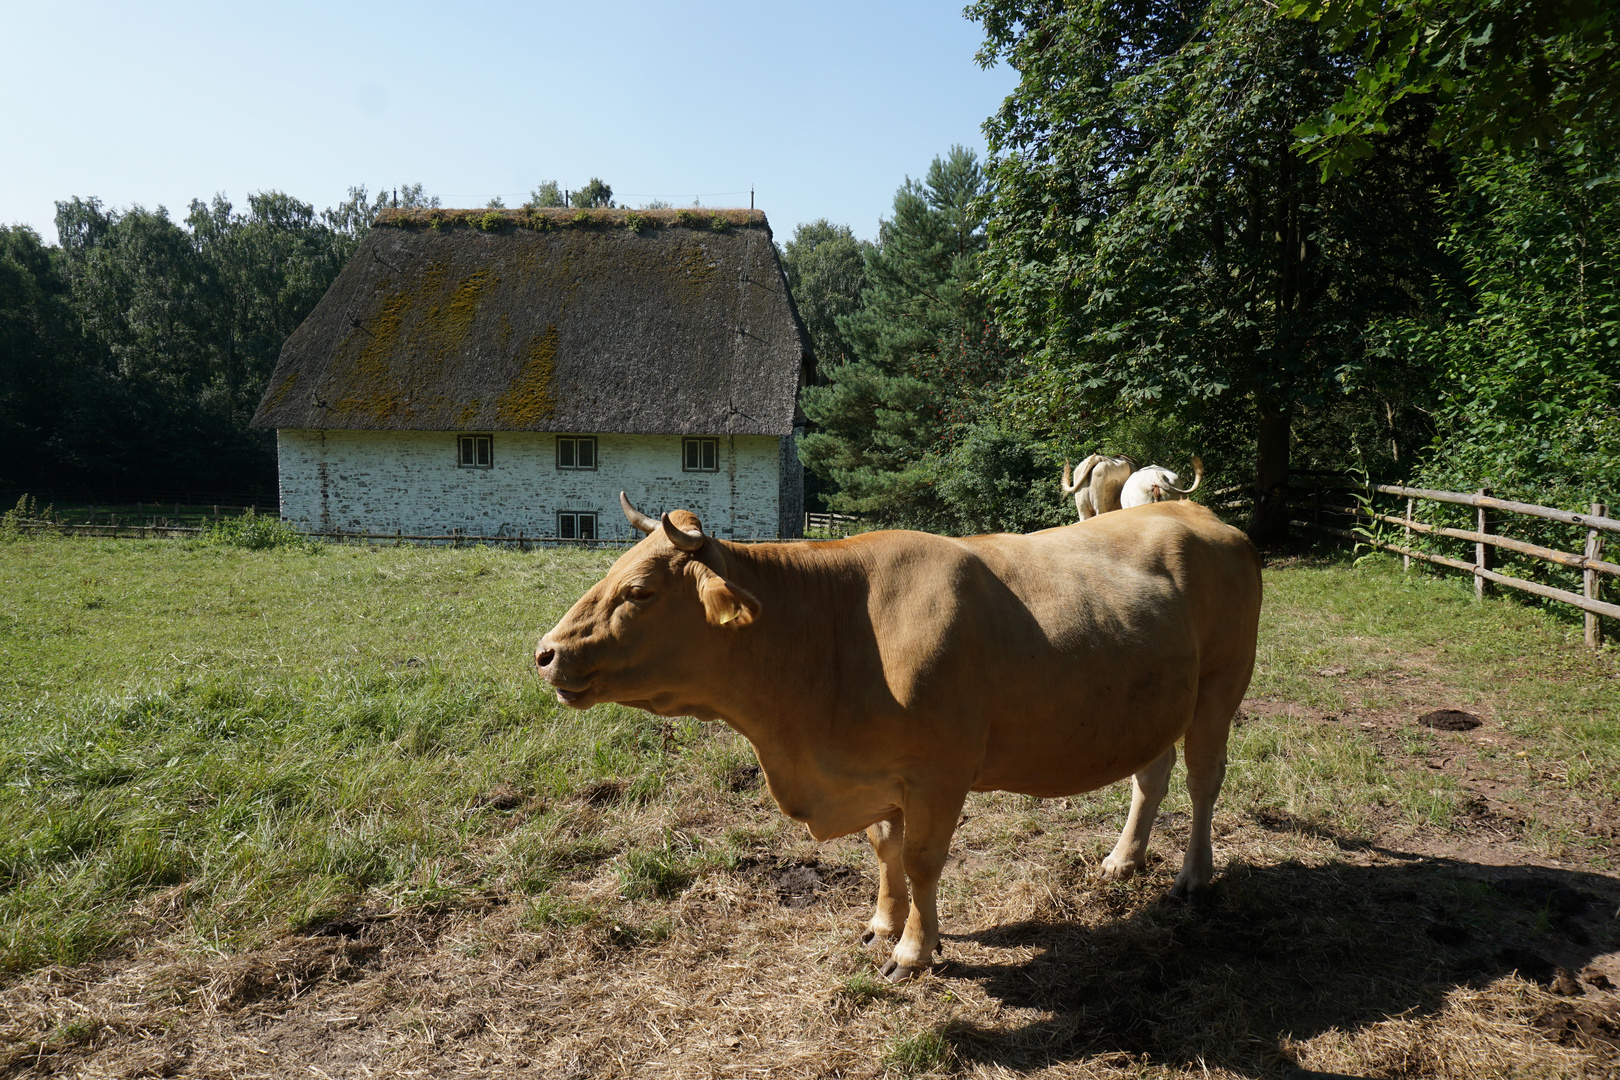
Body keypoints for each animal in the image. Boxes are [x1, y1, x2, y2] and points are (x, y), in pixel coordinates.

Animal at [534, 495, 1263, 984]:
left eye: (640, 591)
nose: (545, 653)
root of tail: (1195, 510)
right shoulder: (876, 772)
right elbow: (884, 849)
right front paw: (883, 922)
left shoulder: (939, 772)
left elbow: (920, 859)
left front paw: (914, 949)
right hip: (1156, 701)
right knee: (1151, 776)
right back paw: (1122, 859)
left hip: (1221, 688)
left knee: (1203, 781)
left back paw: (1193, 876)